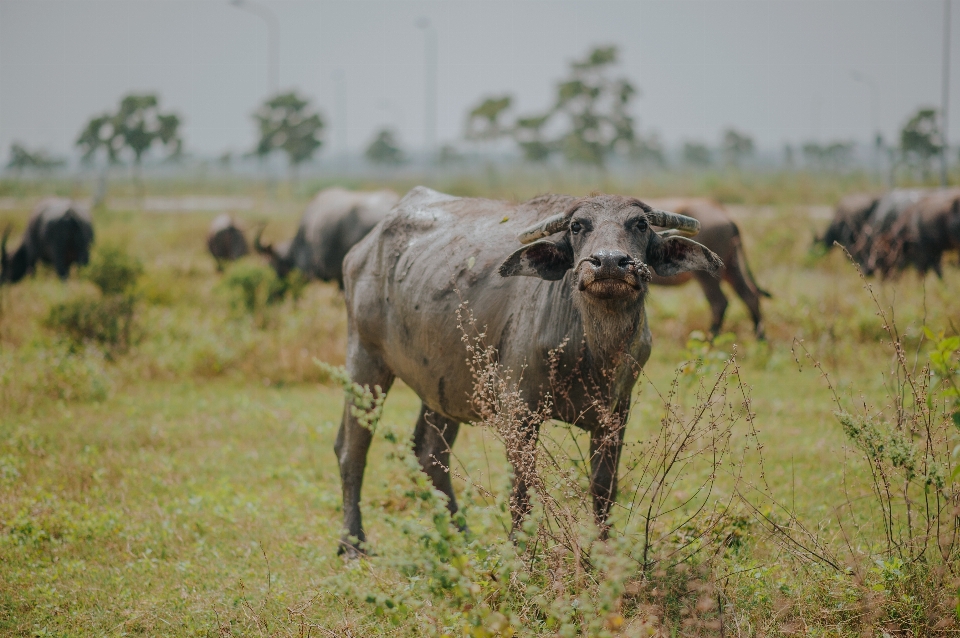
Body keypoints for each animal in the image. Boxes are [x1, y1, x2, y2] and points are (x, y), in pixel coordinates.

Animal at [640, 199, 768, 340]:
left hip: (706, 274)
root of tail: (724, 213)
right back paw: (760, 339)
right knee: (749, 295)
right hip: (731, 266)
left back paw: (711, 339)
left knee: (719, 302)